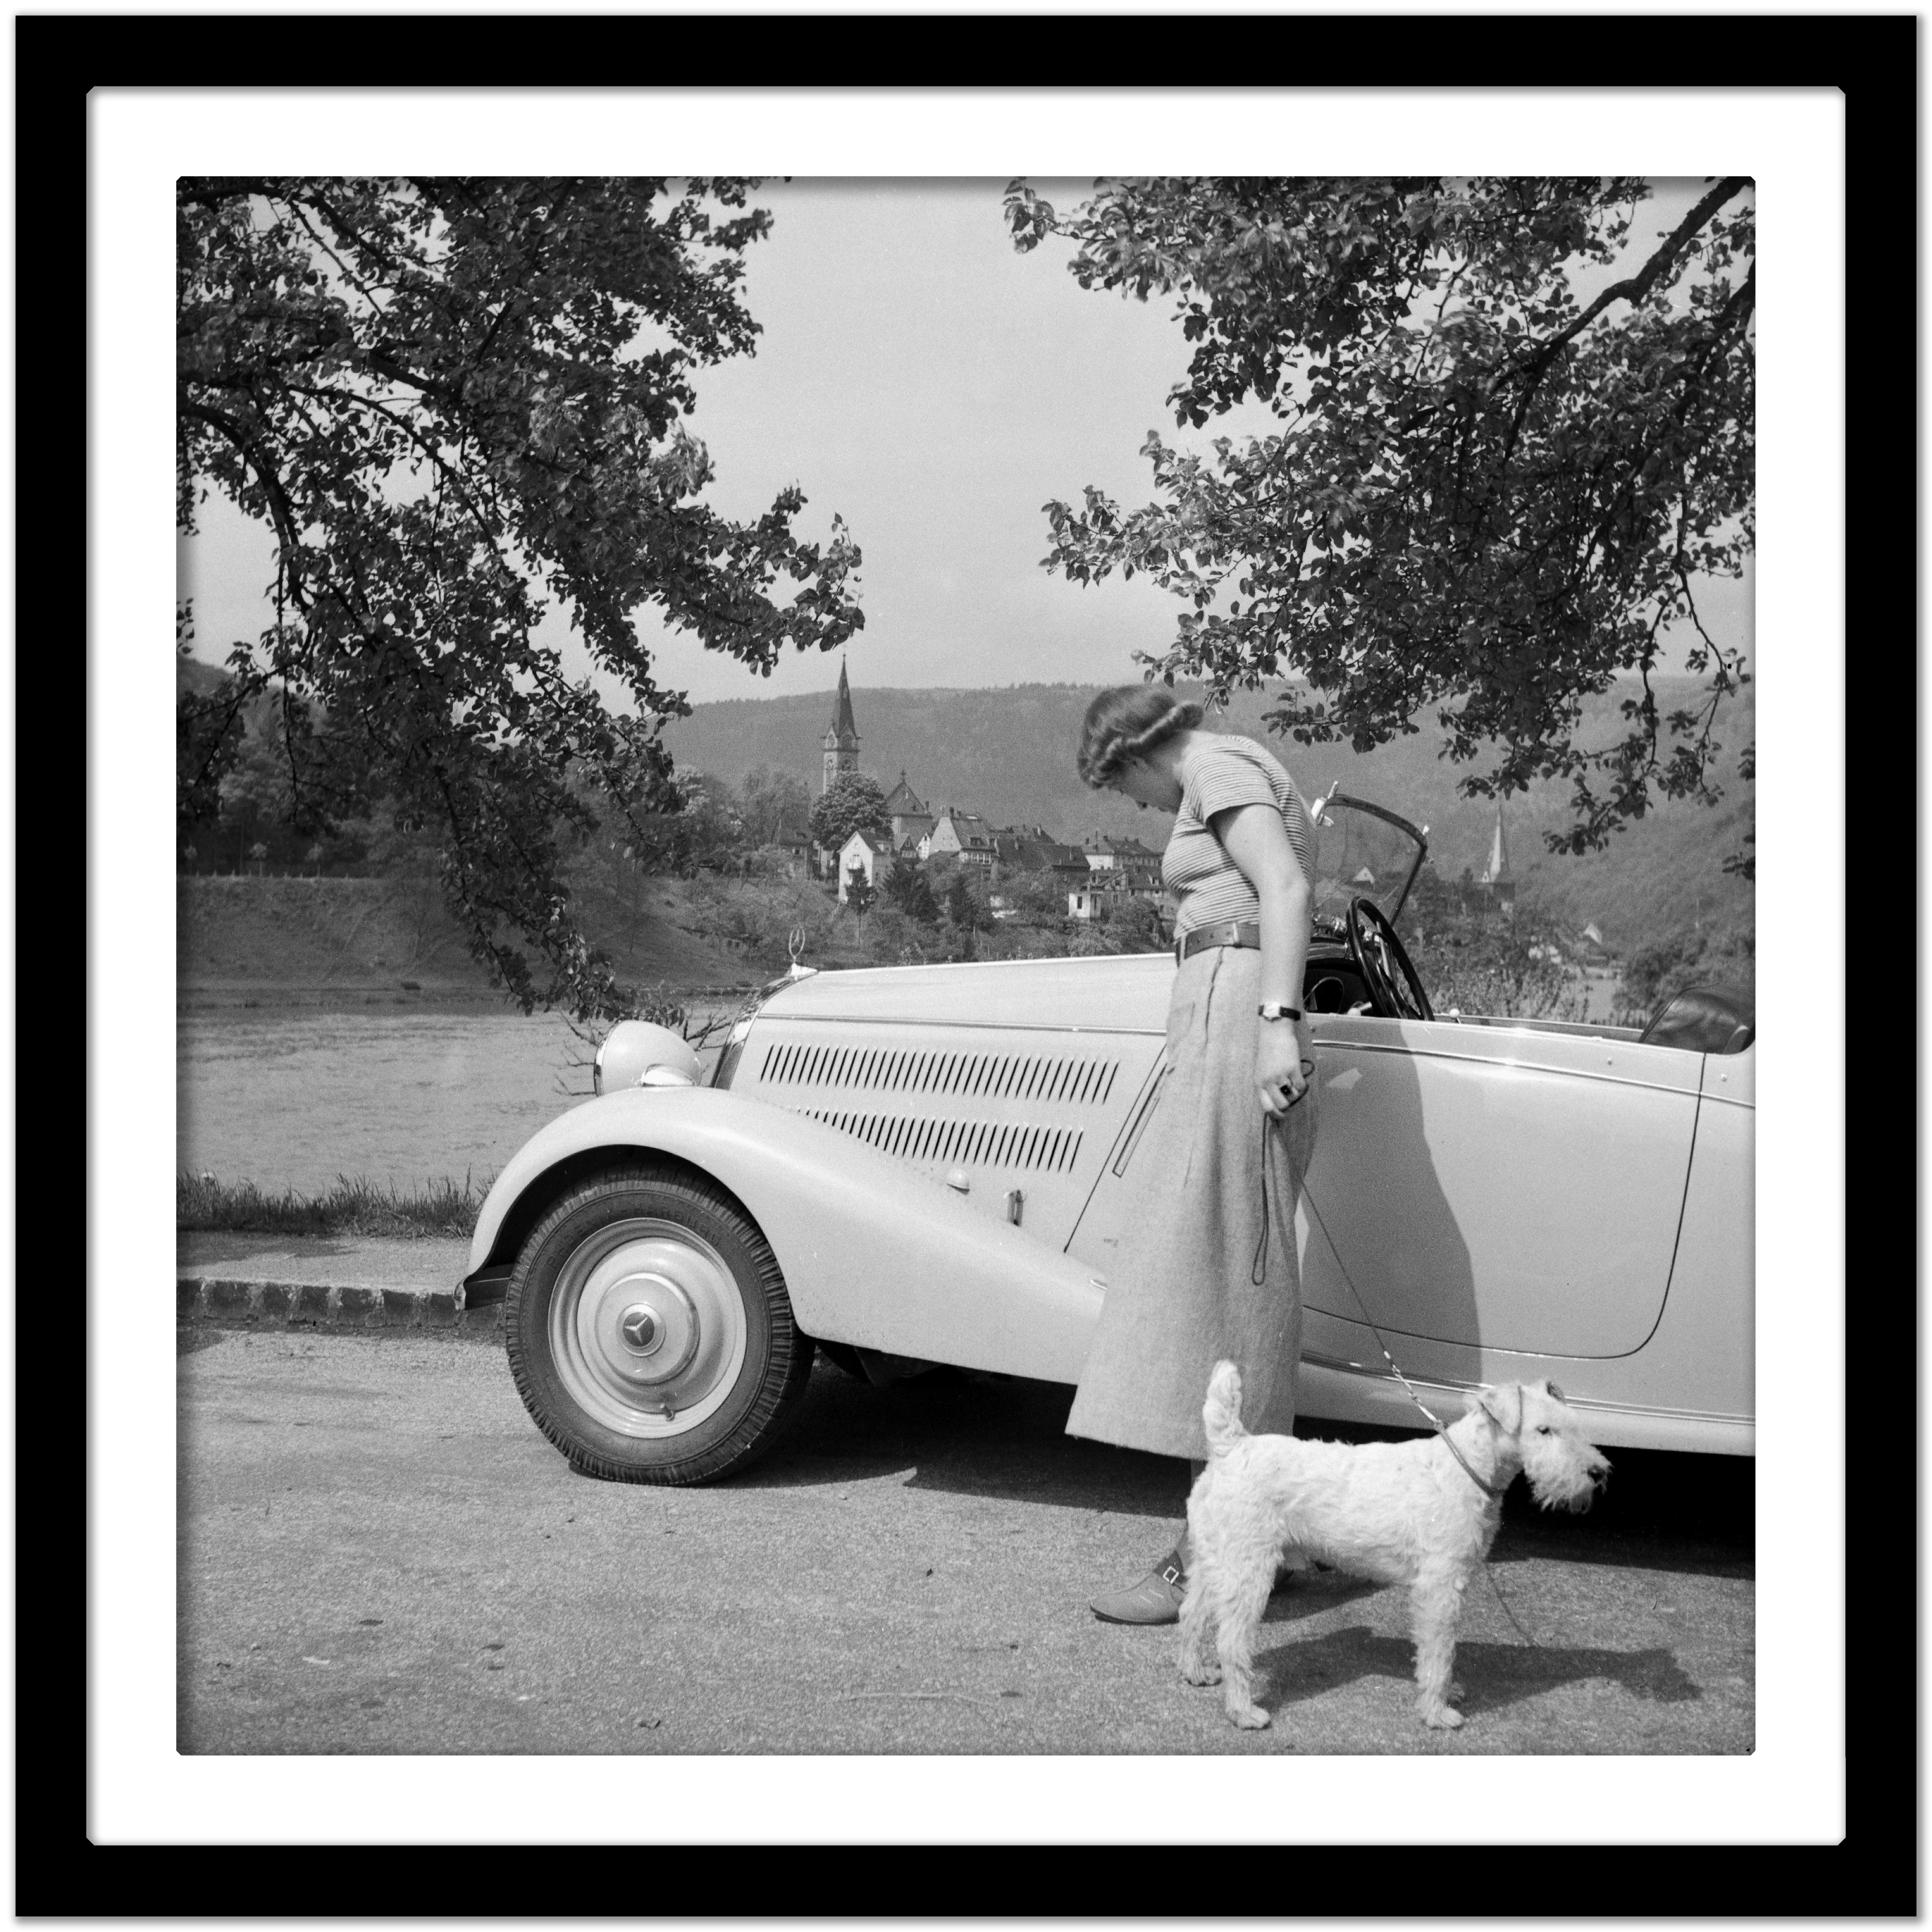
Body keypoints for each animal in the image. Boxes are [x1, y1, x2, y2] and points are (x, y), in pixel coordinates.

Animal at [1174, 1360, 1615, 1739]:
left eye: (1572, 1425)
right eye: (1542, 1430)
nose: (1597, 1472)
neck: (1467, 1467)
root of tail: (1230, 1448)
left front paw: (1446, 1696)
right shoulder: (1440, 1587)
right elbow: (1439, 1654)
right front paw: (1437, 1713)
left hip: (1214, 1560)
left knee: (1191, 1614)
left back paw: (1196, 1672)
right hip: (1250, 1569)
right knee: (1231, 1640)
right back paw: (1244, 1711)